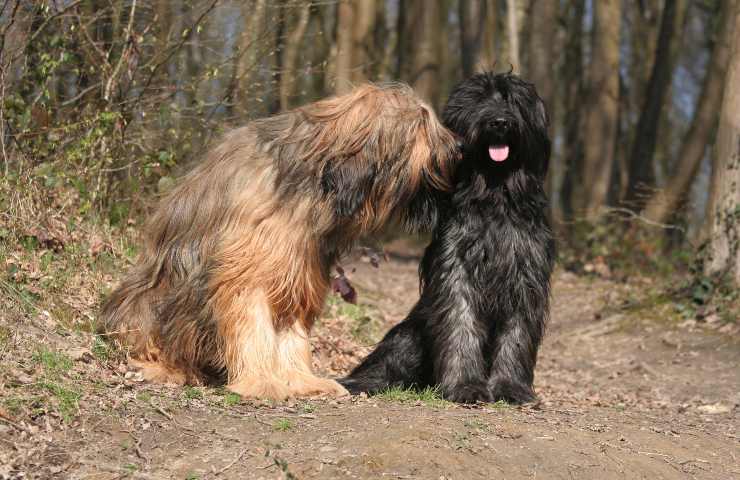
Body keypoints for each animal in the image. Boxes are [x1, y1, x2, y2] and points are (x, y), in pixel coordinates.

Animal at [342, 72, 556, 404]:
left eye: (513, 100)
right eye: (479, 99)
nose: (499, 122)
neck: (494, 193)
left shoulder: (526, 274)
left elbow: (517, 334)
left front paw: (510, 387)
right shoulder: (456, 267)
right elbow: (460, 323)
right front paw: (464, 385)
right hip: (407, 334)